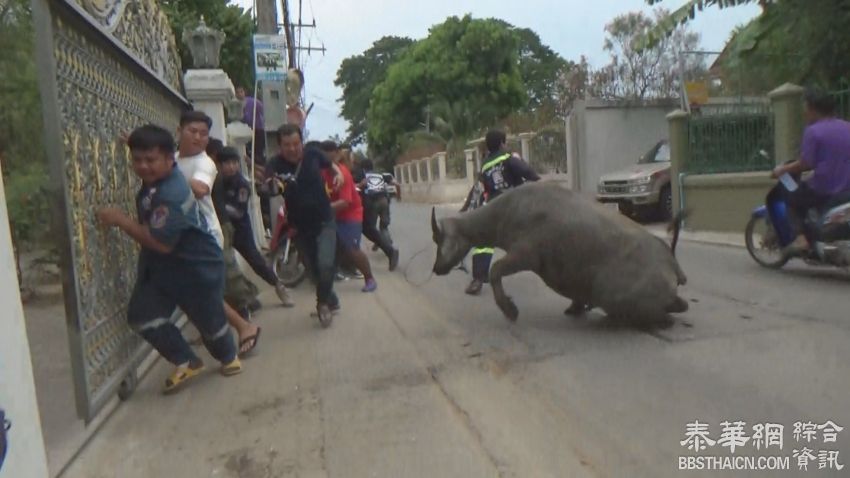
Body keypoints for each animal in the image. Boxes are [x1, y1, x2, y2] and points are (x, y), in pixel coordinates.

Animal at [430, 182, 688, 324]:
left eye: (439, 239)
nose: (436, 268)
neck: (509, 211)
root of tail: (671, 263)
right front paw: (576, 307)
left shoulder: (525, 256)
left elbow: (495, 271)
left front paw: (509, 310)